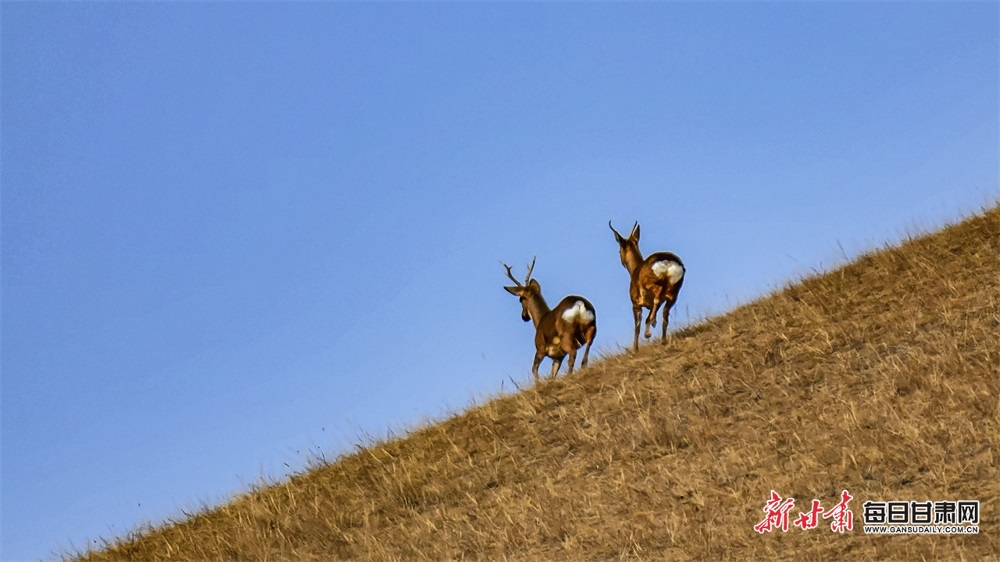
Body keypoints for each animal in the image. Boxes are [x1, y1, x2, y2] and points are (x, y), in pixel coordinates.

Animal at [608, 220, 688, 348]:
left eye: (619, 250)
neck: (636, 269)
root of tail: (667, 260)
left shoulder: (635, 305)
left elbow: (637, 326)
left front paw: (635, 348)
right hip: (673, 293)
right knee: (665, 314)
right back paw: (662, 339)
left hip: (652, 285)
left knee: (657, 297)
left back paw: (651, 328)